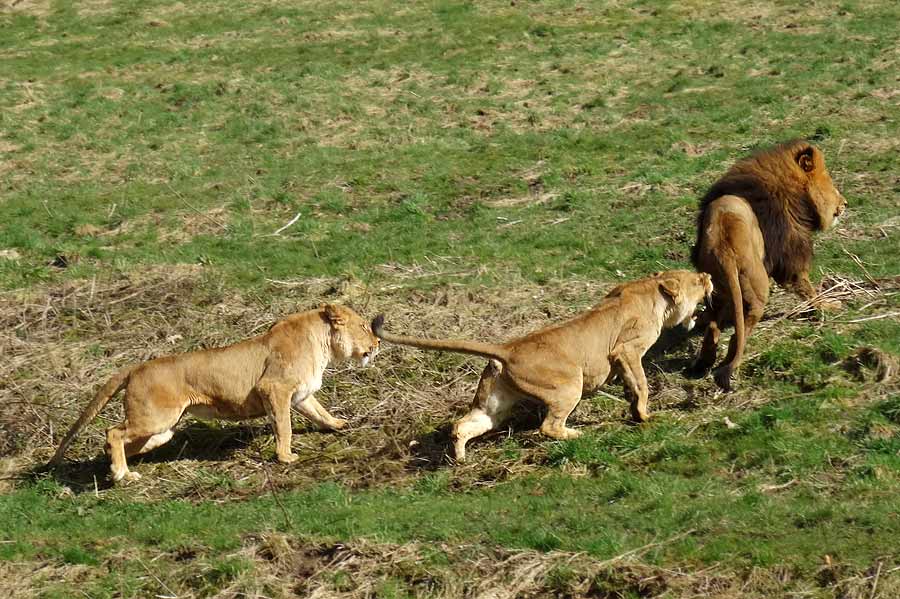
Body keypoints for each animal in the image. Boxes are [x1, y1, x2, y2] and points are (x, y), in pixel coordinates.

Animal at [47, 304, 378, 482]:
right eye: (364, 326)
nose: (376, 344)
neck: (322, 344)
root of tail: (137, 366)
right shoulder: (274, 388)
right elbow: (283, 426)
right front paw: (285, 457)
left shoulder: (301, 395)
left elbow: (321, 413)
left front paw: (341, 425)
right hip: (154, 418)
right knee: (113, 432)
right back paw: (121, 474)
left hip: (161, 430)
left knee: (116, 443)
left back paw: (119, 470)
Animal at [370, 270, 712, 462]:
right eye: (697, 280)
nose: (709, 275)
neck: (652, 290)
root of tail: (507, 348)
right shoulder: (626, 350)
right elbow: (641, 384)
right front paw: (644, 416)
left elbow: (633, 386)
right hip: (569, 385)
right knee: (548, 427)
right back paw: (577, 435)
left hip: (493, 406)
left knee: (463, 426)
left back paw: (460, 459)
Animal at [692, 140, 848, 390]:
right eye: (831, 184)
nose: (845, 203)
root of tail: (723, 248)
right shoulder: (790, 256)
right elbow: (808, 289)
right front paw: (827, 306)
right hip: (758, 287)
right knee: (738, 334)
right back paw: (729, 367)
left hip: (719, 290)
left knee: (714, 326)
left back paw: (704, 363)